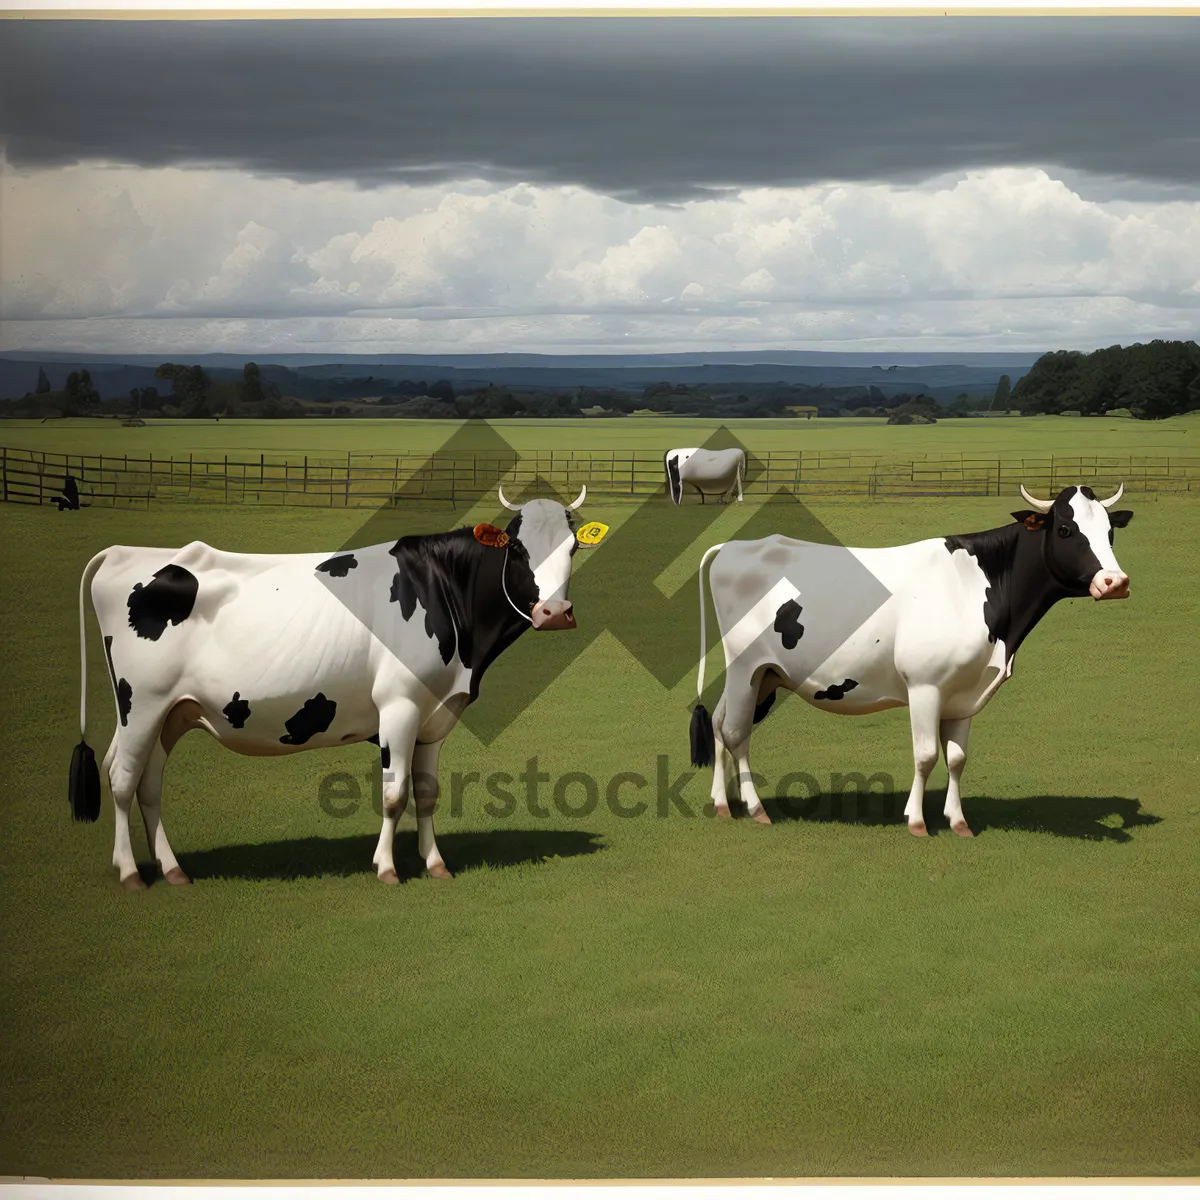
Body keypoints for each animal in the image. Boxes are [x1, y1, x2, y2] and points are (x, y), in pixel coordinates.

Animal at [72, 487, 600, 892]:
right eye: (518, 551)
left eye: (572, 547)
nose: (555, 613)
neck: (441, 593)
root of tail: (125, 553)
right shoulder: (399, 706)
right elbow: (395, 792)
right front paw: (387, 868)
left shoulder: (437, 713)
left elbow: (428, 793)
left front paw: (435, 864)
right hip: (142, 703)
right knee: (121, 777)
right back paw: (130, 874)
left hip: (171, 713)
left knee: (149, 783)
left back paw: (172, 869)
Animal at [696, 482, 1132, 840]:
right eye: (1065, 530)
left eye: (1110, 532)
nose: (1115, 582)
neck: (976, 587)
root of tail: (734, 547)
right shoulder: (925, 685)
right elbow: (926, 756)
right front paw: (918, 821)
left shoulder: (964, 692)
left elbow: (956, 758)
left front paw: (958, 821)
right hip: (745, 667)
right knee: (736, 732)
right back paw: (755, 808)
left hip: (765, 676)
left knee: (718, 722)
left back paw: (723, 802)